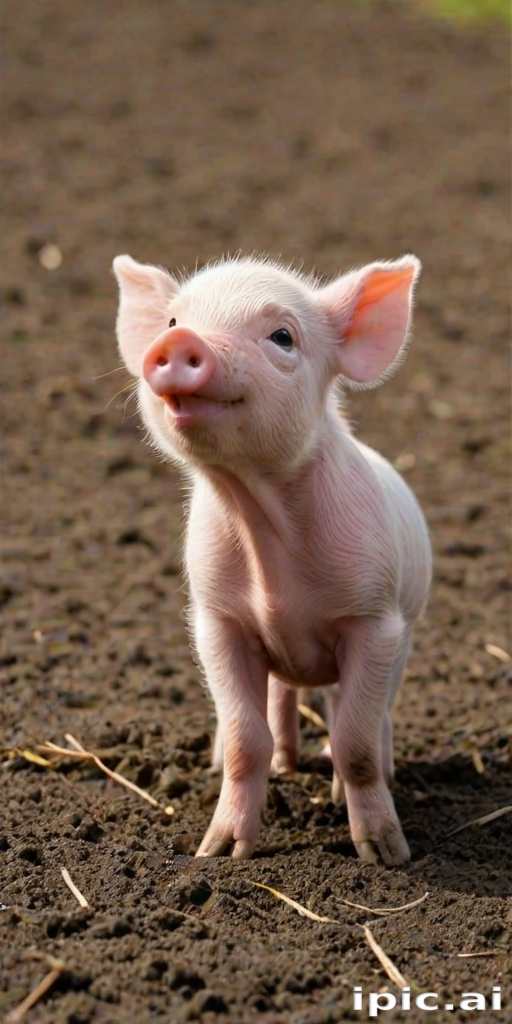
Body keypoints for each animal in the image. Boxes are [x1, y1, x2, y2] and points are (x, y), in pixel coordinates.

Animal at [113, 251, 432, 867]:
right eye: (172, 321)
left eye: (282, 336)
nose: (180, 340)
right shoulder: (217, 620)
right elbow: (245, 738)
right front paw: (219, 853)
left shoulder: (374, 619)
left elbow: (354, 740)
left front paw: (385, 854)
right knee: (280, 699)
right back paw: (284, 765)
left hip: (403, 636)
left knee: (368, 715)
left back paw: (353, 784)